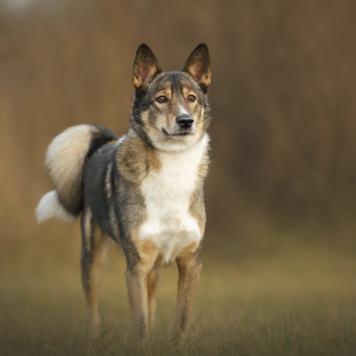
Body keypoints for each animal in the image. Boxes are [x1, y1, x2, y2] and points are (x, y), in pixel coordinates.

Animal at [36, 43, 211, 340]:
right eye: (161, 99)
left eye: (191, 98)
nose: (185, 121)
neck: (173, 164)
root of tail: (105, 142)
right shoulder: (136, 267)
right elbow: (139, 326)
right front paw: (144, 343)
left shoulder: (190, 262)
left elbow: (181, 321)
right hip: (92, 258)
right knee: (92, 305)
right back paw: (94, 336)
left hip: (153, 267)